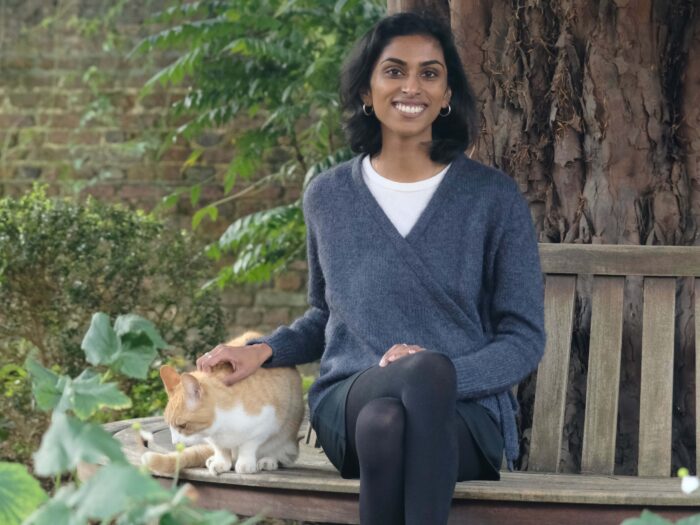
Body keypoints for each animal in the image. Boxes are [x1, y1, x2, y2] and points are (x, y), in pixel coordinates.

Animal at [142, 332, 304, 474]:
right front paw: (221, 462)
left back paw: (268, 460)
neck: (220, 426)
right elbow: (221, 449)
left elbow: (248, 445)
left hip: (287, 437)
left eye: (183, 425)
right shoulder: (214, 440)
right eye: (168, 424)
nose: (175, 443)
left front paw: (245, 463)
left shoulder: (265, 424)